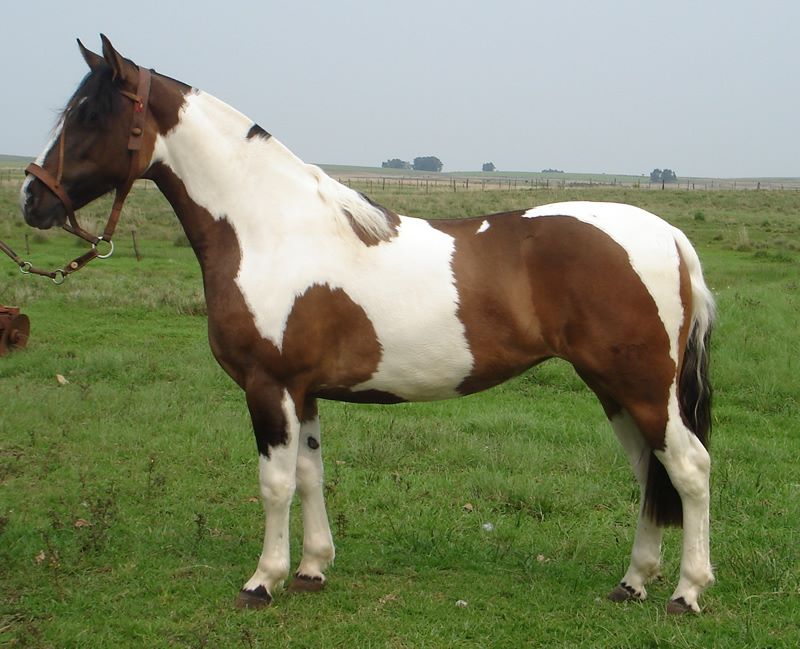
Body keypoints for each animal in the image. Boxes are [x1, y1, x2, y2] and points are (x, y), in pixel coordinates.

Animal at [21, 35, 716, 612]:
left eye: (90, 116)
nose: (32, 200)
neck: (269, 228)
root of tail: (669, 235)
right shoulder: (302, 392)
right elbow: (310, 476)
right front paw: (311, 569)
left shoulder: (269, 386)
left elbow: (275, 483)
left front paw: (262, 581)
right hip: (614, 391)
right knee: (649, 475)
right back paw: (632, 583)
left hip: (643, 388)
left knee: (688, 469)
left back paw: (686, 593)